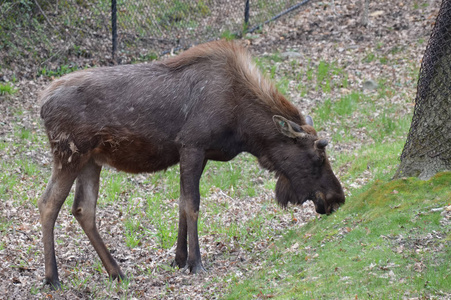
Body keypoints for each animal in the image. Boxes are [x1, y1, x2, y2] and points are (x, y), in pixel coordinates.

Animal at [39, 39, 346, 288]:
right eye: (318, 156)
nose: (338, 197)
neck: (244, 129)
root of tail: (42, 105)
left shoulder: (198, 153)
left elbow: (181, 204)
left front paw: (178, 259)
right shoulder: (192, 146)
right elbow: (192, 205)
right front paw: (195, 262)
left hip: (91, 160)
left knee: (83, 209)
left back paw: (116, 272)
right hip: (70, 154)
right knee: (48, 204)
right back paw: (53, 278)